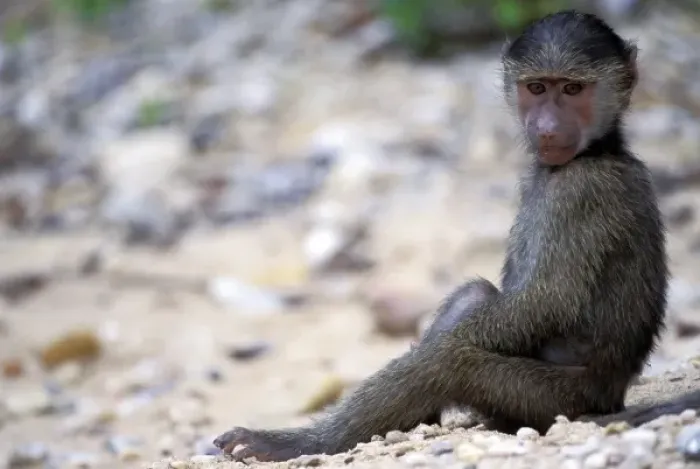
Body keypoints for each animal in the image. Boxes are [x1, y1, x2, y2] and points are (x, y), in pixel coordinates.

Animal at [213, 10, 694, 462]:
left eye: (574, 90)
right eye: (537, 88)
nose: (547, 129)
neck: (597, 151)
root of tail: (613, 397)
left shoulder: (581, 194)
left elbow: (544, 302)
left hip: (561, 399)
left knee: (452, 360)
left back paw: (298, 442)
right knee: (471, 297)